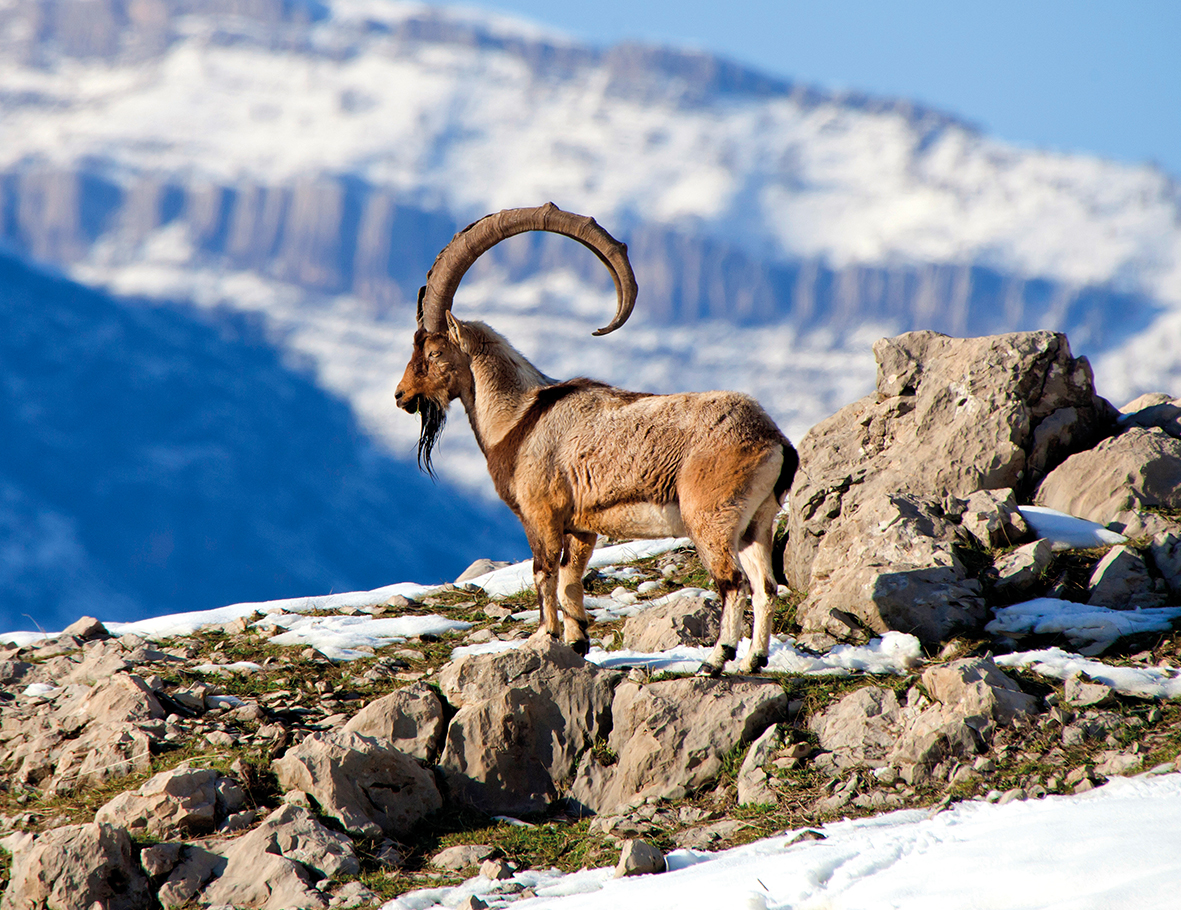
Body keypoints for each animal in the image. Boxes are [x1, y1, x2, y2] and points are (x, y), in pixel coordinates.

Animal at [399, 206, 803, 675]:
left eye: (431, 352)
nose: (401, 396)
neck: (518, 418)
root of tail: (773, 440)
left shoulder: (540, 514)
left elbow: (544, 573)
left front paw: (544, 637)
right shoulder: (581, 526)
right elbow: (571, 579)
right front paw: (577, 642)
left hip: (711, 518)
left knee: (733, 583)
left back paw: (715, 659)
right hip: (757, 521)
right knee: (765, 585)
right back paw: (755, 660)